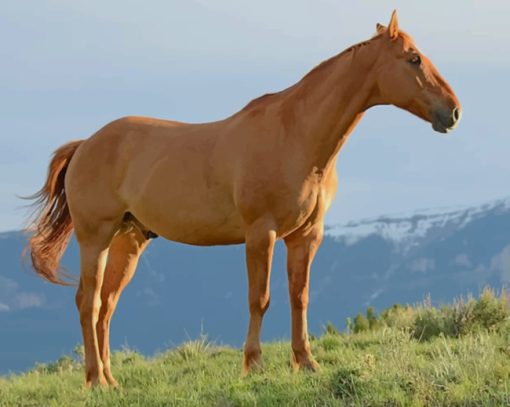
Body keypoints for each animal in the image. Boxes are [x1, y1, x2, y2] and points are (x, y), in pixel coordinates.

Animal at [25, 11, 460, 388]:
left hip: (128, 240)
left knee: (106, 306)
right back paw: (95, 380)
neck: (295, 136)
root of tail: (85, 144)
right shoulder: (260, 234)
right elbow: (260, 299)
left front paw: (306, 362)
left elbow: (299, 297)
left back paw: (111, 380)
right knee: (88, 303)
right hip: (95, 237)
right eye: (413, 58)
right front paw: (254, 365)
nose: (453, 112)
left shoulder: (306, 236)